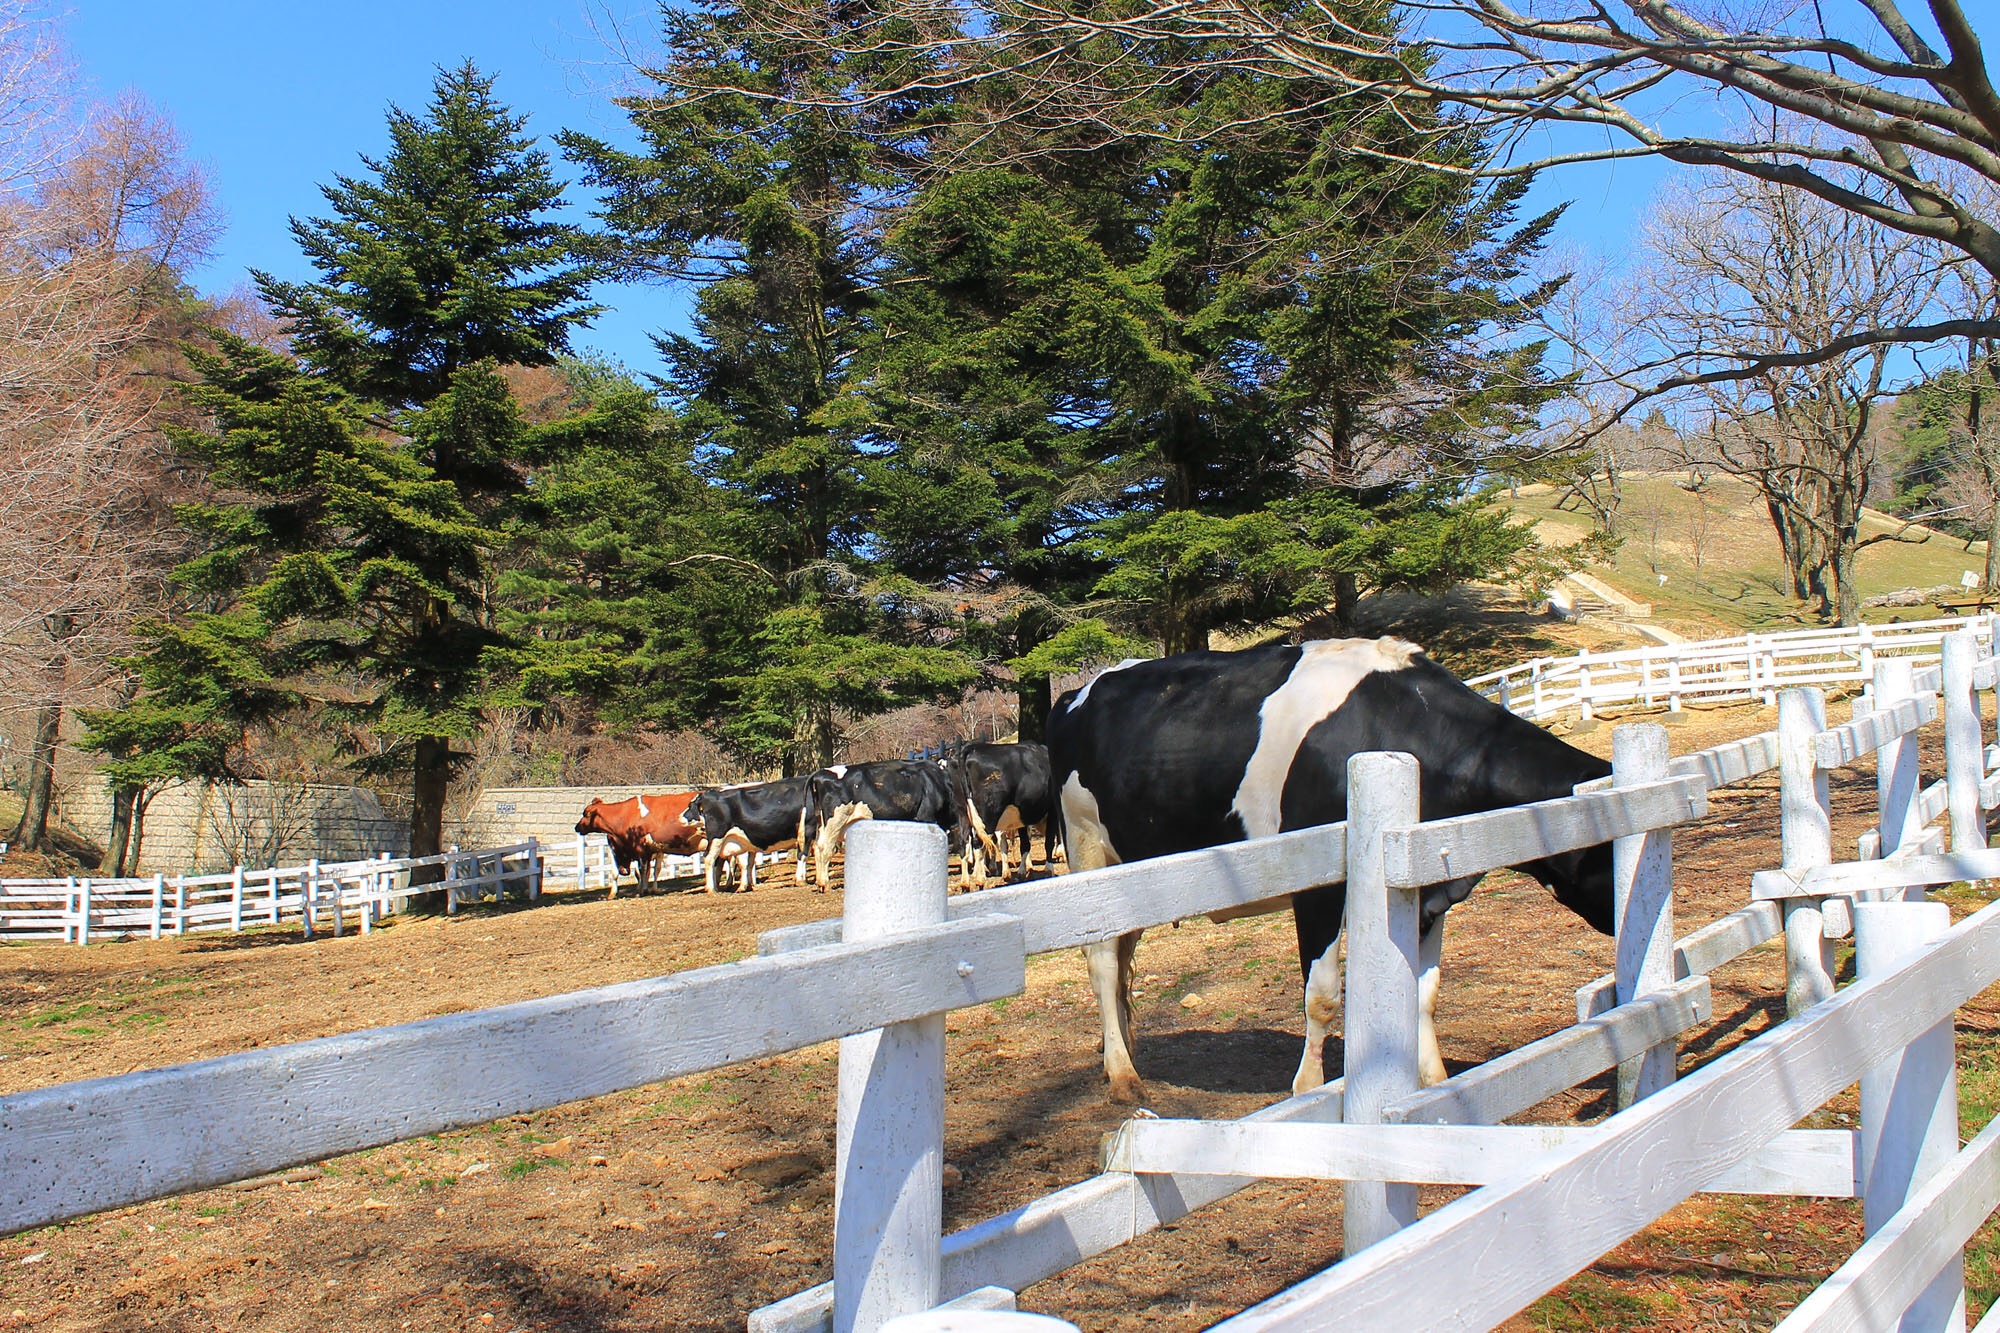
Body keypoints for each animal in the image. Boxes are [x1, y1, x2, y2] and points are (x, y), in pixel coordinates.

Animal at [804, 756, 960, 880]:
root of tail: (820, 773)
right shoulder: (926, 817)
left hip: (822, 822)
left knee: (817, 846)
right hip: (835, 819)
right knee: (824, 847)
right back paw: (824, 883)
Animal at [952, 736, 1064, 880]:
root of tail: (971, 748)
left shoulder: (1023, 814)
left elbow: (1025, 844)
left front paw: (1022, 871)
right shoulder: (1052, 810)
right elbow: (1049, 841)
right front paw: (1049, 869)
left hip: (963, 813)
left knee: (964, 841)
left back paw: (967, 881)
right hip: (988, 814)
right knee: (980, 842)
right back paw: (981, 878)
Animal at [1056, 632, 1616, 1096]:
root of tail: (1075, 693)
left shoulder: (1430, 887)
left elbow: (1426, 992)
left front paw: (1435, 1081)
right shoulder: (1318, 887)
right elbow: (1322, 996)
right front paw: (1308, 1089)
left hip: (1133, 875)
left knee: (1122, 956)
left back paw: (1121, 1052)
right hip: (1086, 850)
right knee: (1102, 961)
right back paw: (1123, 1078)